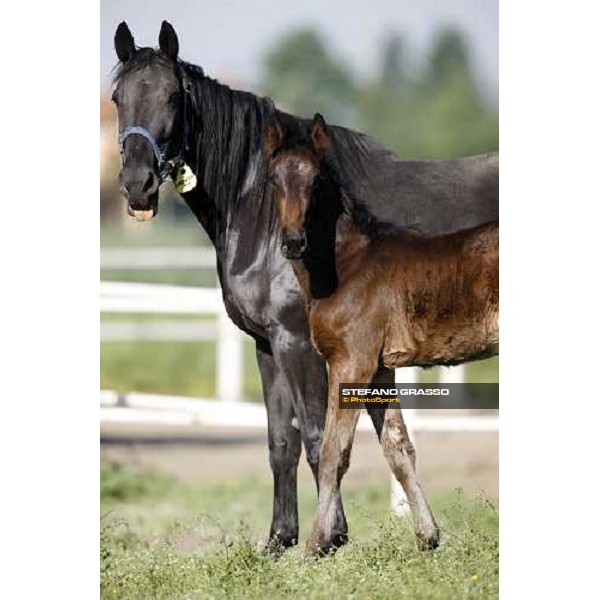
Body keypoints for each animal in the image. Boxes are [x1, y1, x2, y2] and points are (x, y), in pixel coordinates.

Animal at [266, 113, 496, 556]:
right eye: (273, 179)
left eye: (316, 180)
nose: (292, 242)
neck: (349, 265)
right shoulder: (379, 369)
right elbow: (397, 447)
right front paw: (428, 538)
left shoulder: (350, 362)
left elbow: (334, 452)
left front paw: (315, 545)